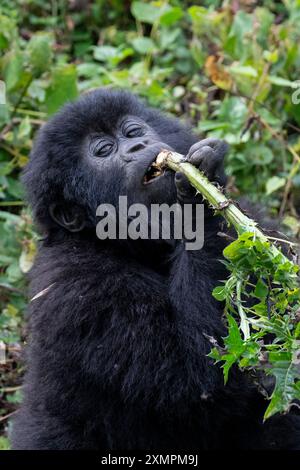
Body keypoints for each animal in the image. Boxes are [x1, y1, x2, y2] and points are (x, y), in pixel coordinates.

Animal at [11, 89, 300, 452]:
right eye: (104, 150)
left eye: (132, 131)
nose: (138, 146)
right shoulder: (74, 288)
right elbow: (195, 376)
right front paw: (196, 198)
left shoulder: (257, 225)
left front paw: (206, 173)